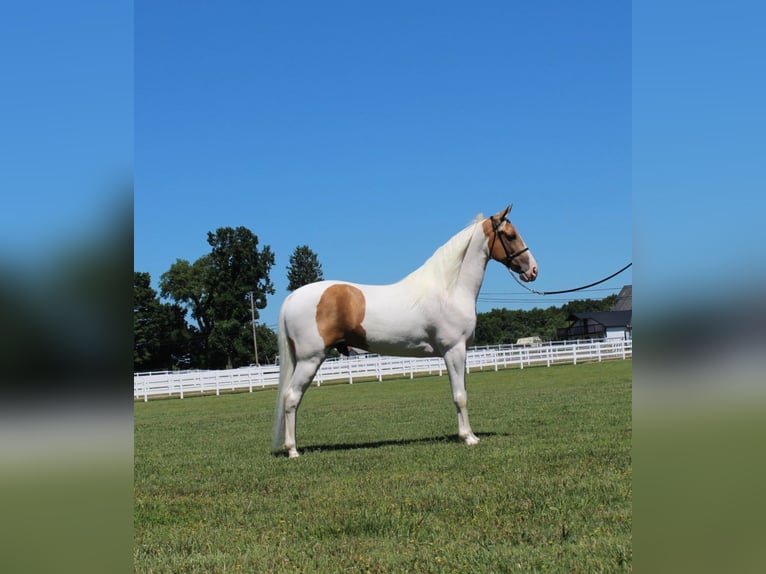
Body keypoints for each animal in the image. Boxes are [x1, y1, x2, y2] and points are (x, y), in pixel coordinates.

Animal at [274, 207, 540, 460]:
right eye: (510, 235)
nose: (533, 269)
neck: (449, 288)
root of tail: (292, 298)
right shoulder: (453, 350)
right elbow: (460, 395)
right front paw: (468, 438)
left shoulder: (458, 352)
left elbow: (462, 392)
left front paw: (468, 434)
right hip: (310, 360)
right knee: (291, 397)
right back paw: (293, 450)